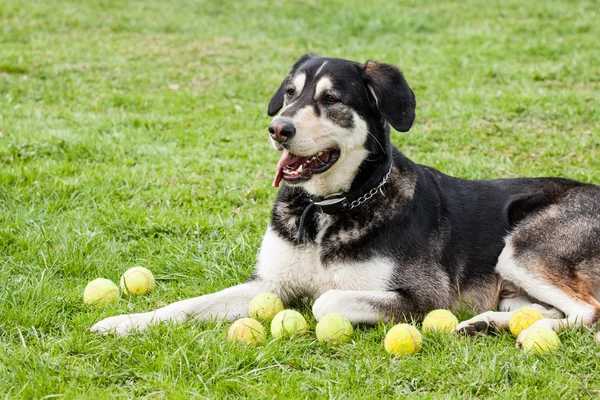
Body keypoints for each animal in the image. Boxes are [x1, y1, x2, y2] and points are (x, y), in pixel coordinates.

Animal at [92, 54, 600, 346]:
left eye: (332, 99)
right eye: (290, 94)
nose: (278, 130)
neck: (326, 208)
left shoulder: (426, 295)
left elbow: (325, 302)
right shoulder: (267, 284)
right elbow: (186, 305)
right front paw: (124, 323)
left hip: (521, 249)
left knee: (588, 312)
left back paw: (522, 331)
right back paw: (489, 323)